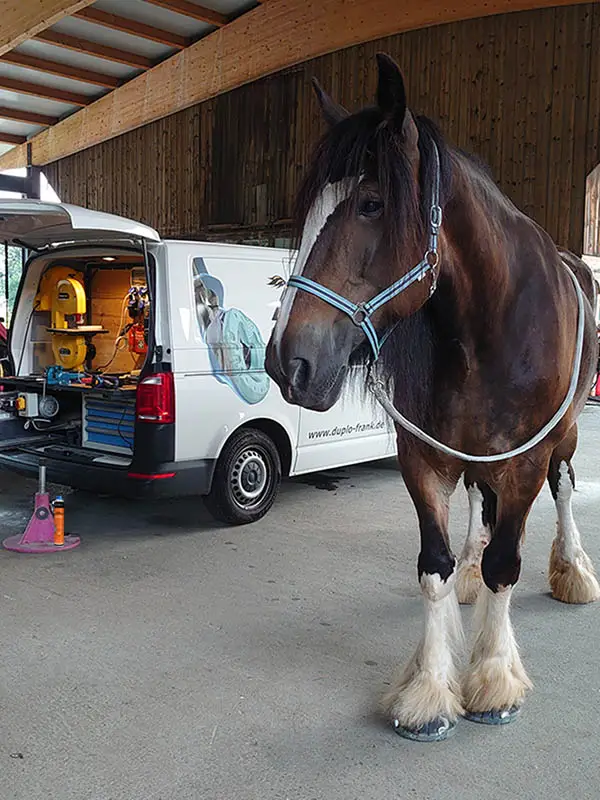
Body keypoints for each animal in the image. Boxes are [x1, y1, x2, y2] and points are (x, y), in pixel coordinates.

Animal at [268, 54, 600, 744]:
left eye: (371, 203)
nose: (288, 361)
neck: (490, 326)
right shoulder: (423, 457)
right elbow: (434, 564)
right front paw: (428, 690)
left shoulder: (525, 463)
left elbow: (507, 561)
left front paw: (494, 683)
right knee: (477, 499)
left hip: (566, 436)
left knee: (564, 487)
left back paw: (573, 570)